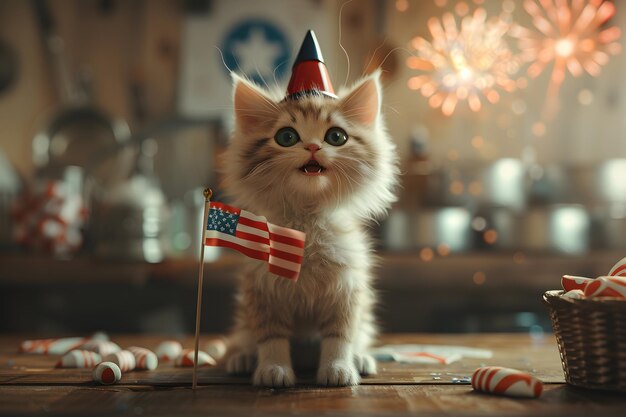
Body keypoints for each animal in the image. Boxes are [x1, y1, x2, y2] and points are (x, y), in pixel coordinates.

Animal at [214, 69, 398, 386]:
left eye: (336, 136)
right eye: (286, 137)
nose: (312, 146)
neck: (306, 223)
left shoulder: (348, 288)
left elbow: (340, 335)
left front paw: (339, 369)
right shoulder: (262, 288)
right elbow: (271, 336)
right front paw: (273, 369)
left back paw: (361, 358)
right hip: (244, 317)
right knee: (243, 338)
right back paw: (242, 359)